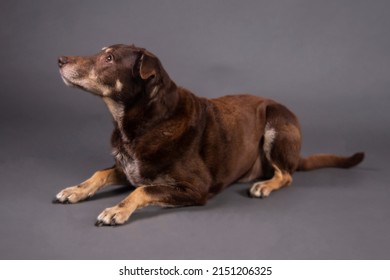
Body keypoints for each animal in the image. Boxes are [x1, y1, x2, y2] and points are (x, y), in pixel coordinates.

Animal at [56, 44, 364, 228]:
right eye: (102, 53)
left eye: (108, 58)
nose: (60, 59)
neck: (145, 121)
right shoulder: (129, 169)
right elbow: (100, 173)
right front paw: (76, 190)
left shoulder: (195, 188)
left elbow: (143, 190)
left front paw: (116, 209)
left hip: (276, 122)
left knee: (286, 175)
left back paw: (265, 185)